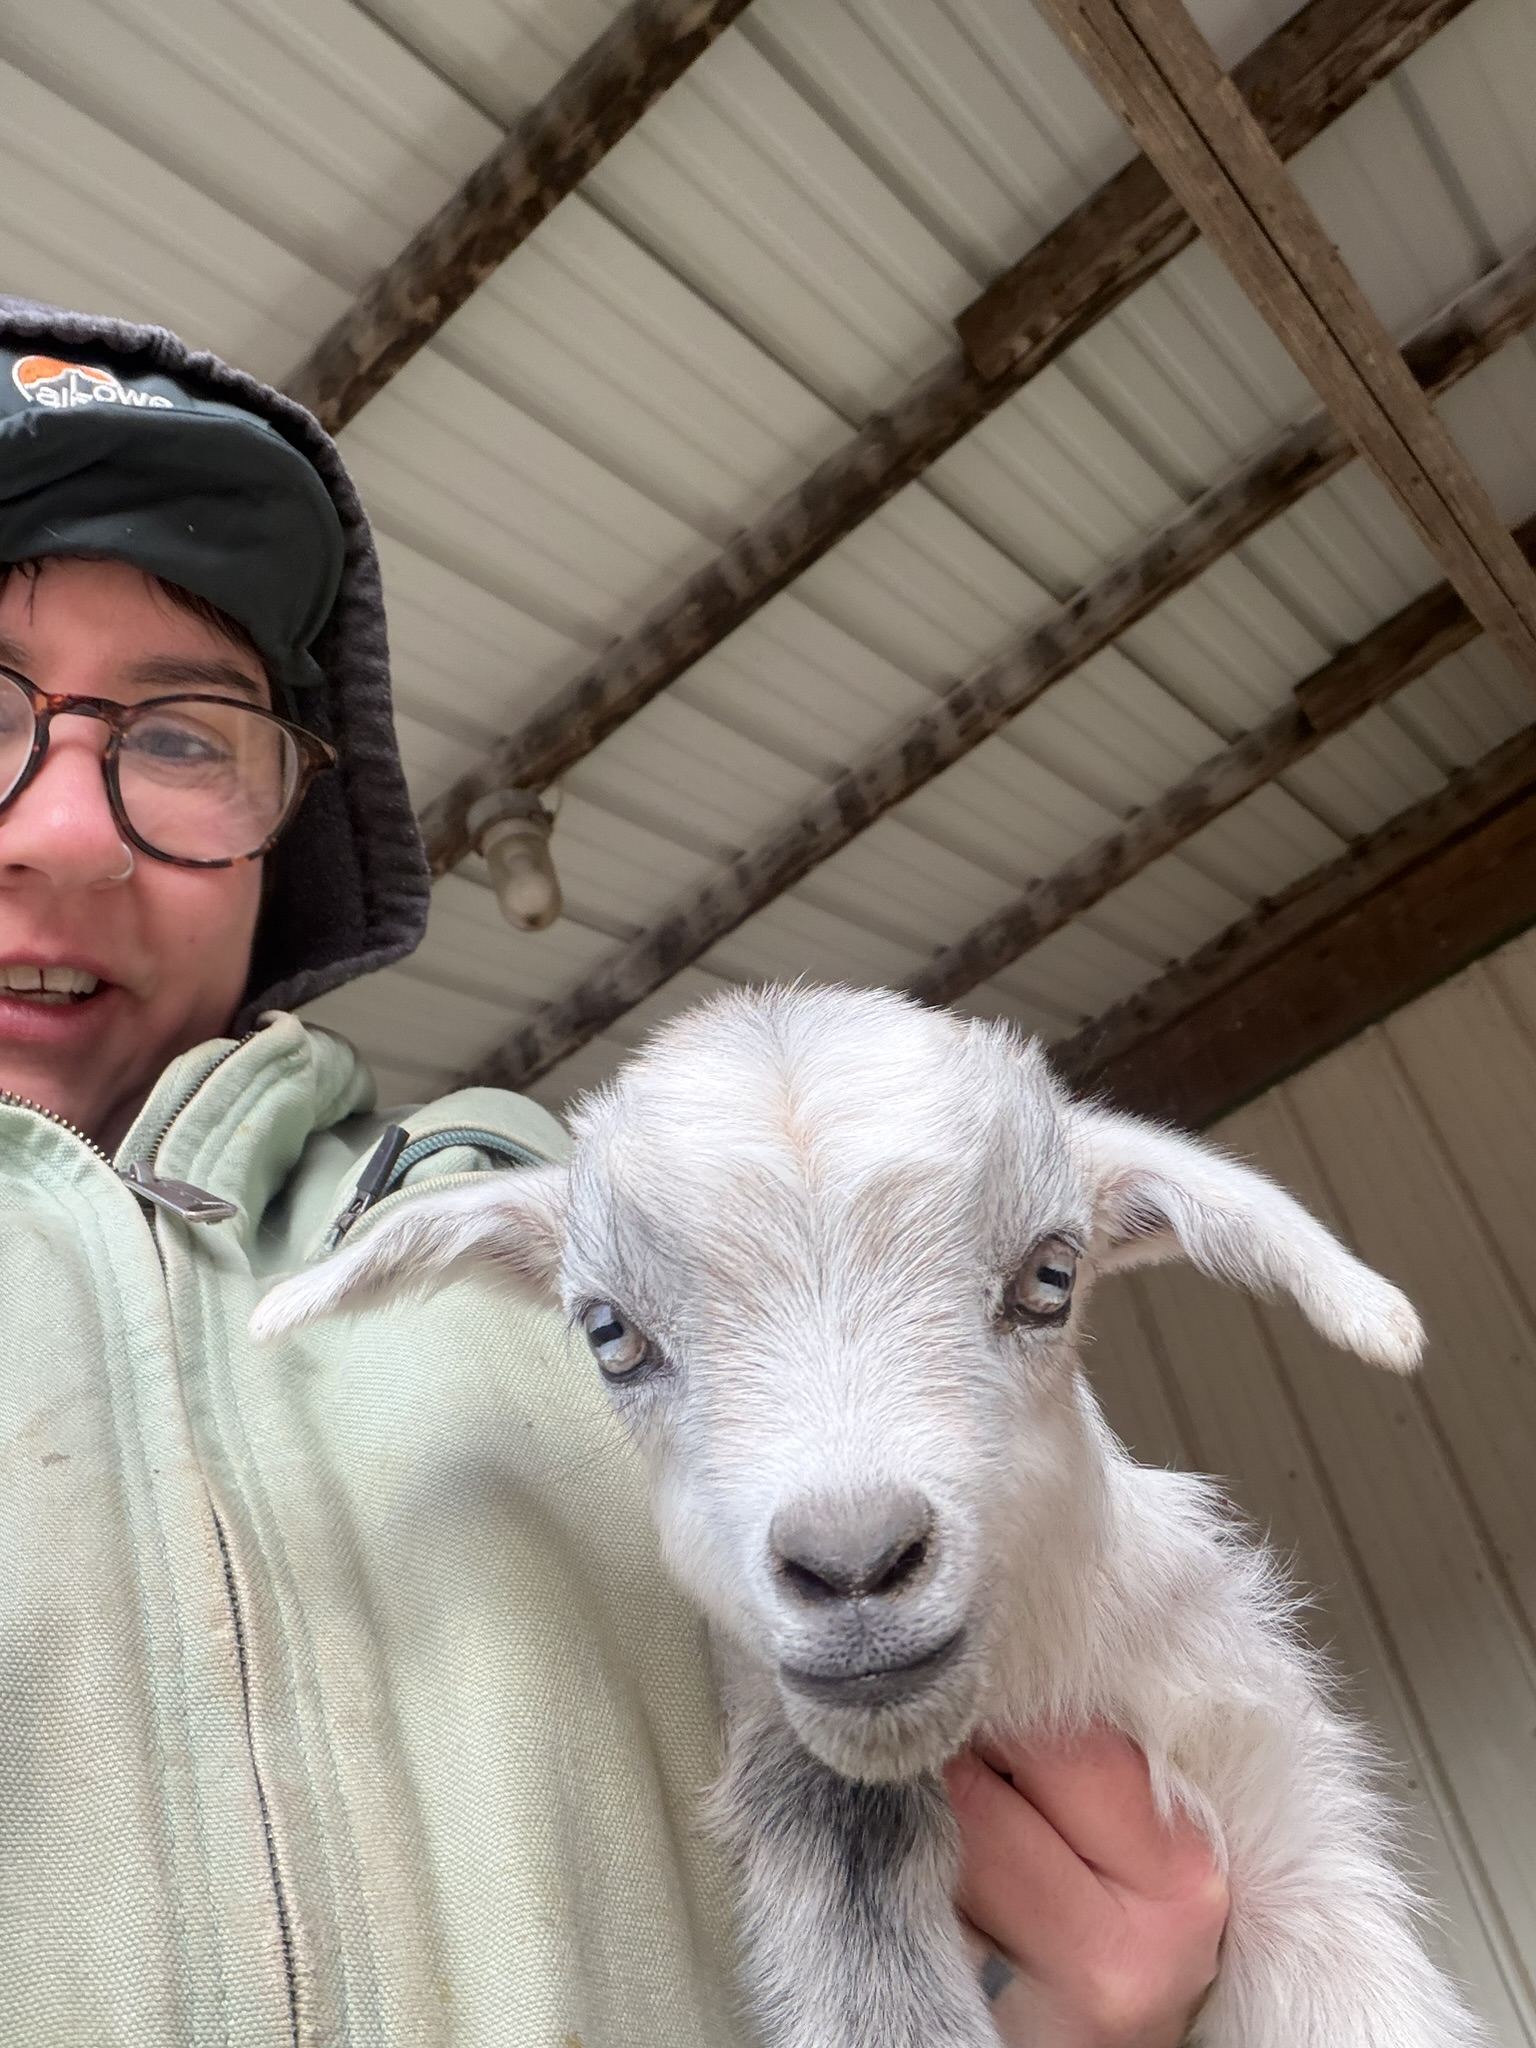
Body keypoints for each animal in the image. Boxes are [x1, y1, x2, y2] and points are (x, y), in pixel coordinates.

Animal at [254, 984, 1486, 2048]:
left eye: (1051, 1276)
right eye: (610, 1334)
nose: (853, 1563)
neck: (1027, 1683)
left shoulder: (1279, 1803)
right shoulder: (815, 1807)